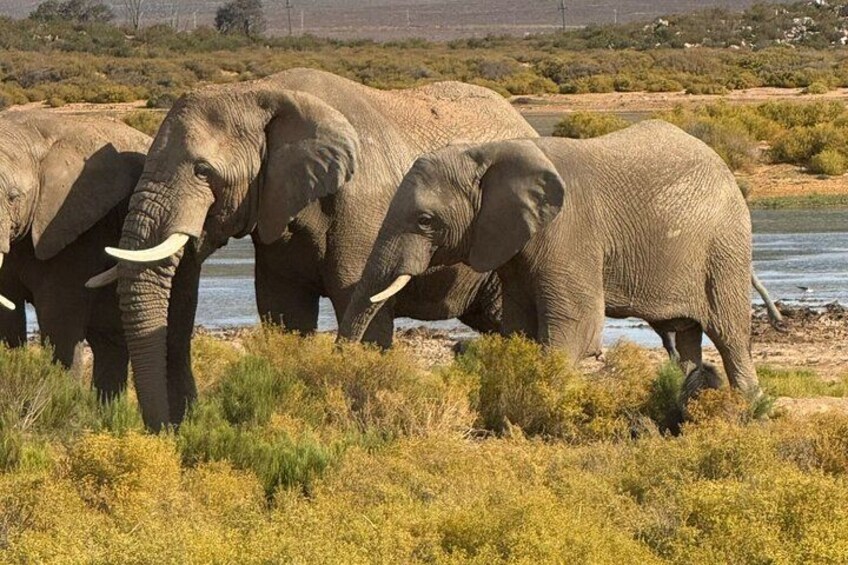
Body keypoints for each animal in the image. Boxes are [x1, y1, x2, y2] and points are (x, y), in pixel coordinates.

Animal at [90, 68, 538, 430]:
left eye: (203, 171)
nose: (167, 429)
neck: (264, 91)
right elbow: (285, 313)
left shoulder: (367, 212)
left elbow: (366, 308)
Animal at [338, 120, 763, 399]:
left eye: (425, 221)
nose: (343, 366)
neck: (488, 151)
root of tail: (724, 166)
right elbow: (520, 325)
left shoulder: (570, 231)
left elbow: (576, 325)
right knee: (688, 335)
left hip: (725, 248)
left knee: (729, 334)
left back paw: (746, 406)